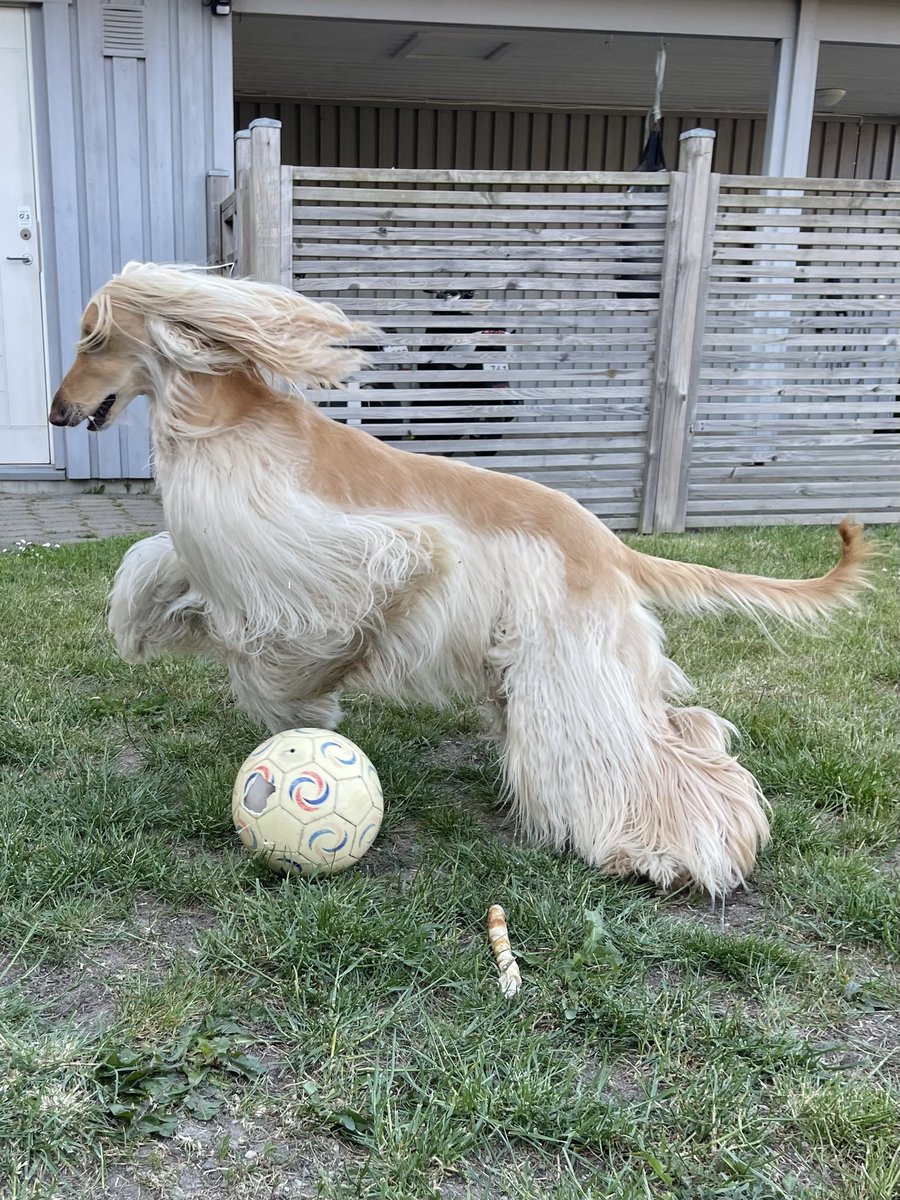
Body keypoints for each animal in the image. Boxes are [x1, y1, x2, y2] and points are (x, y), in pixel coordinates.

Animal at [51, 267, 873, 897]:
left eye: (92, 337)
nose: (57, 413)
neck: (217, 423)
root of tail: (607, 543)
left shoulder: (357, 552)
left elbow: (292, 648)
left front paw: (310, 696)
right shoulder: (233, 553)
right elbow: (152, 567)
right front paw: (153, 626)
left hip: (567, 661)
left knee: (636, 753)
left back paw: (672, 846)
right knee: (687, 729)